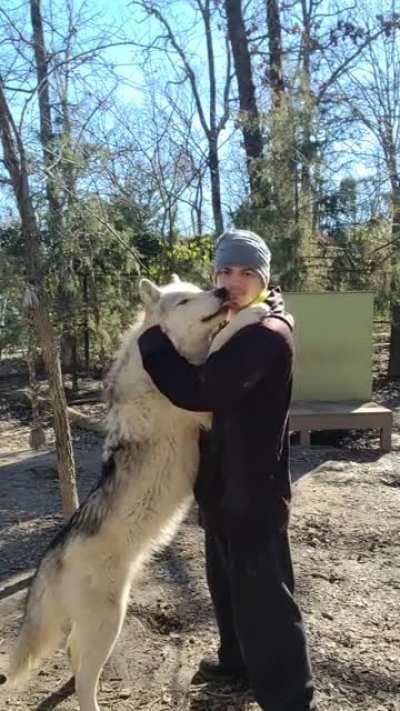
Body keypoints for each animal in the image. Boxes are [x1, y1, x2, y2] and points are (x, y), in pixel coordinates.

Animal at [4, 275, 269, 711]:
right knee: (84, 678)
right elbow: (223, 340)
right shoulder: (200, 394)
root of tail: (52, 554)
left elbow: (220, 338)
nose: (222, 292)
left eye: (201, 288)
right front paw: (259, 311)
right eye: (185, 300)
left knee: (73, 651)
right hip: (110, 621)